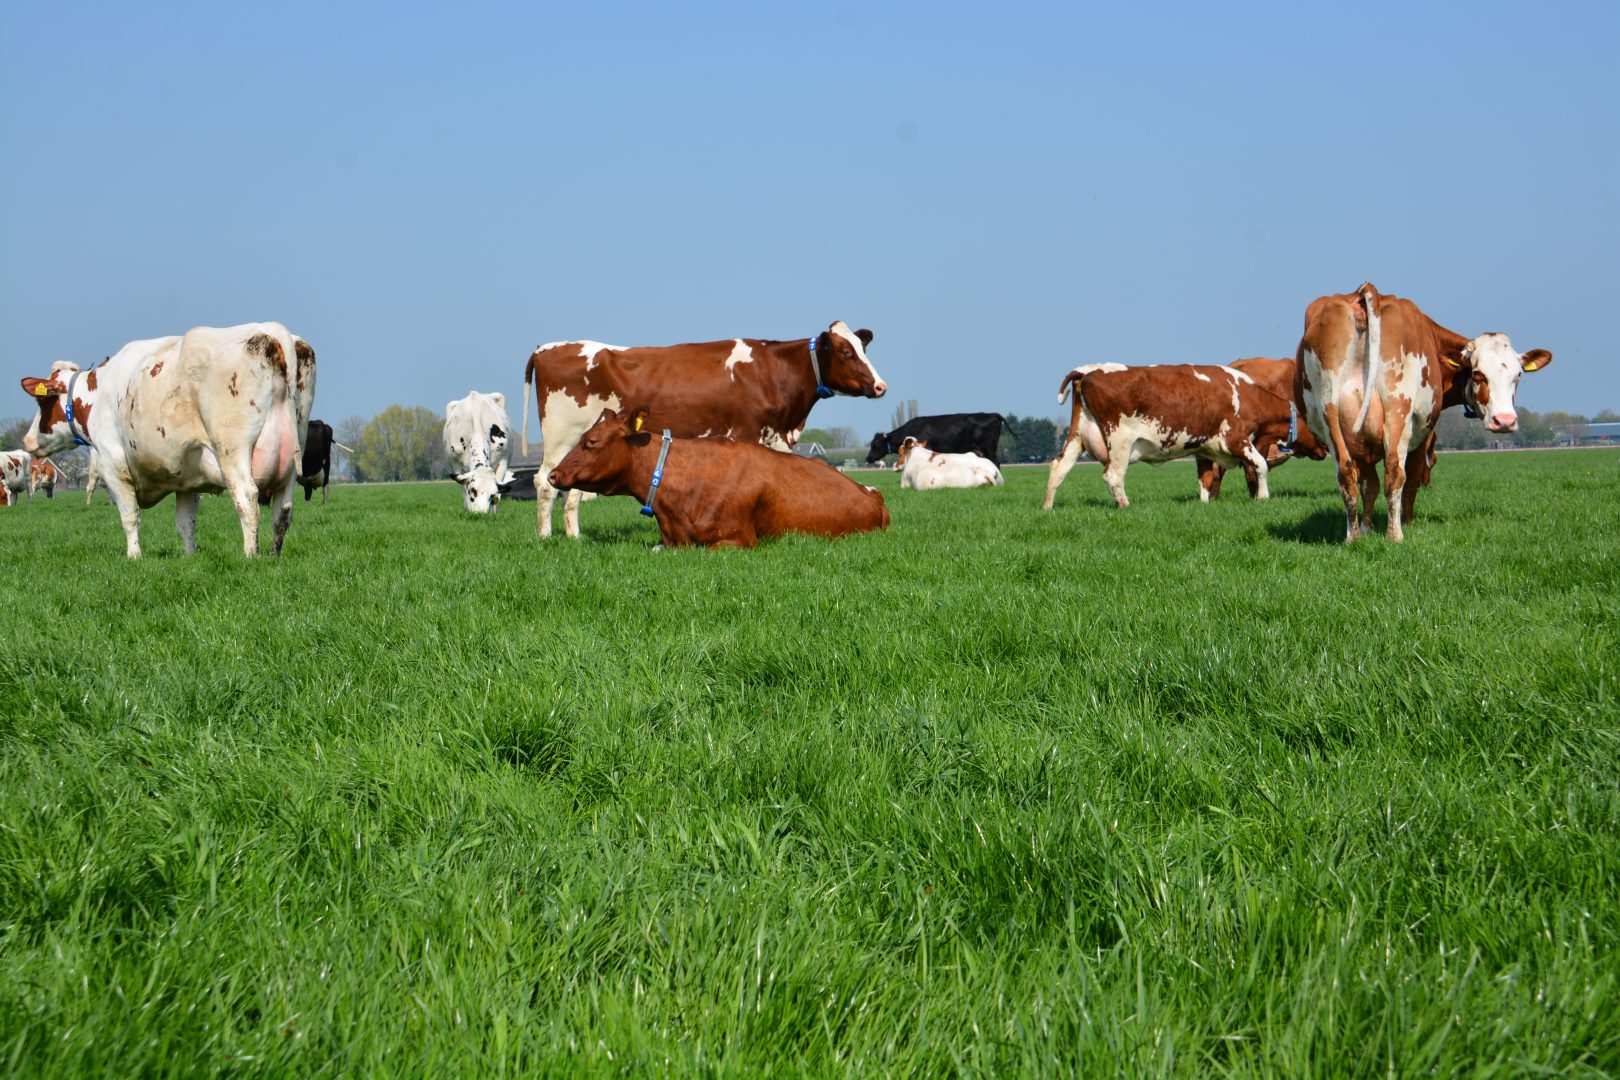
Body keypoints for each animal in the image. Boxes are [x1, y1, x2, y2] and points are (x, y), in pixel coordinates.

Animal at [18, 323, 315, 563]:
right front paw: (190, 556)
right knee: (283, 510)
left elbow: (129, 516)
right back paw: (274, 555)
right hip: (292, 454)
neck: (98, 392)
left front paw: (134, 556)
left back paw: (251, 555)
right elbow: (185, 522)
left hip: (232, 448)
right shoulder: (188, 478)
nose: (27, 439)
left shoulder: (113, 464)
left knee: (247, 498)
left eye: (42, 402)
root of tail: (271, 329)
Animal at [1296, 284, 1548, 544]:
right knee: (1395, 472)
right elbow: (1410, 480)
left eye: (1518, 375)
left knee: (1346, 475)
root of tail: (1364, 291)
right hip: (1398, 411)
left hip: (1330, 415)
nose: (1505, 421)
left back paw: (1352, 538)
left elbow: (1369, 486)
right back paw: (1395, 535)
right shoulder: (1422, 436)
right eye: (1478, 374)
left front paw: (1365, 529)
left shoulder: (1361, 446)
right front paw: (1408, 523)